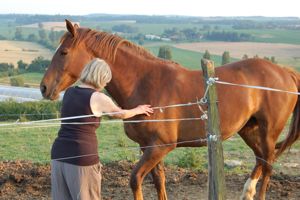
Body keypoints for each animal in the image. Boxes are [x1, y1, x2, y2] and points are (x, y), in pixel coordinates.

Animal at [40, 20, 300, 200]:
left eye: (63, 52)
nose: (44, 87)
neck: (144, 82)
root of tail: (284, 72)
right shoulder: (148, 147)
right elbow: (159, 181)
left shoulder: (160, 146)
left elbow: (135, 179)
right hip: (249, 129)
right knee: (261, 158)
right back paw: (247, 191)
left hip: (268, 130)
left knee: (268, 162)